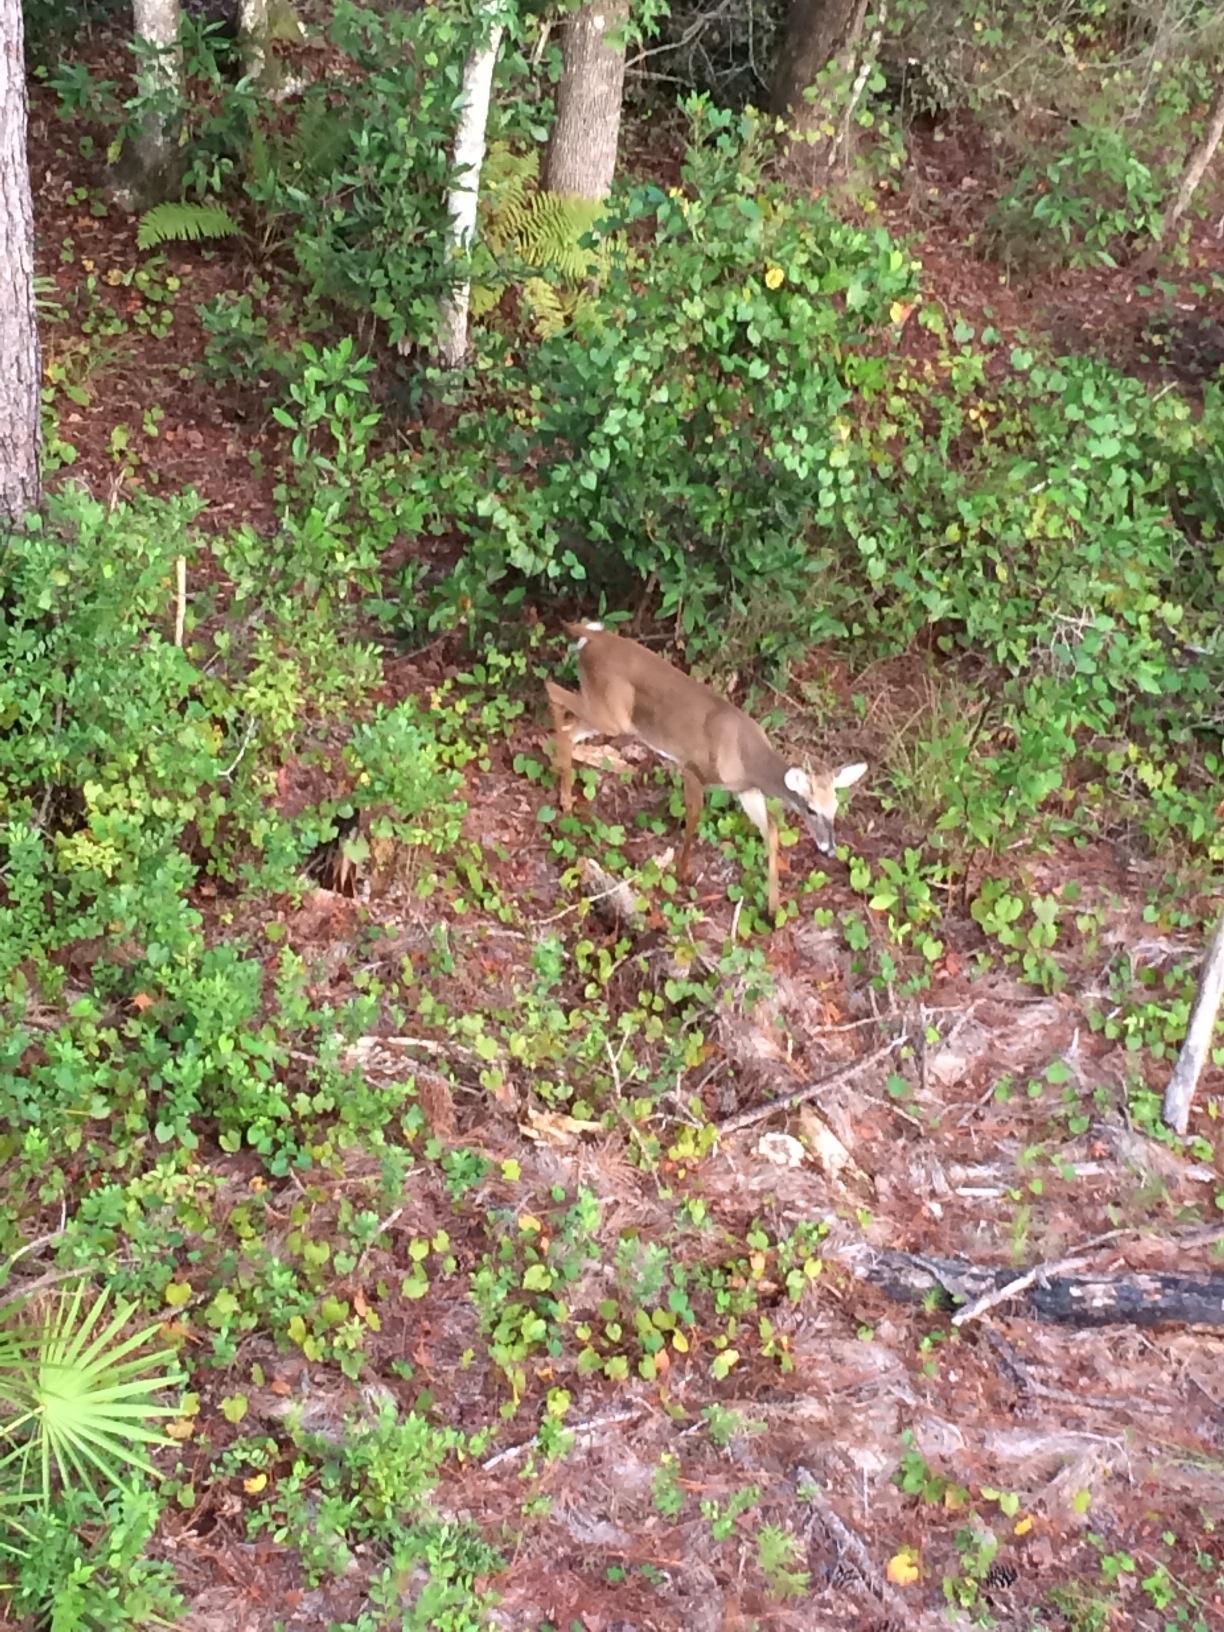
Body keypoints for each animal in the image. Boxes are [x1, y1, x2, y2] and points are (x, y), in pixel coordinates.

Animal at [545, 622, 867, 917]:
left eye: (835, 807)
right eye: (811, 809)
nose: (829, 848)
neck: (745, 758)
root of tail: (590, 635)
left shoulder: (746, 790)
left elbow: (771, 831)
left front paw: (773, 909)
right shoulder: (692, 768)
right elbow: (694, 817)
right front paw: (681, 873)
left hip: (606, 712)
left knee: (565, 720)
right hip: (612, 715)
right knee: (554, 696)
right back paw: (565, 798)